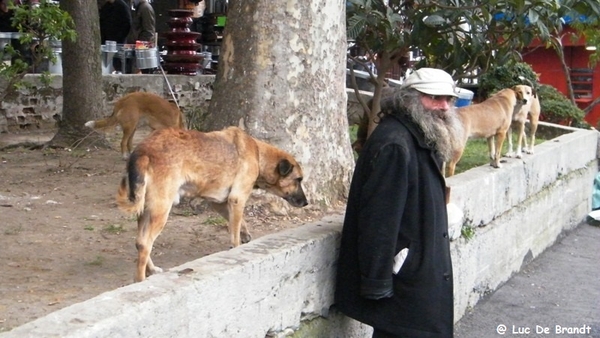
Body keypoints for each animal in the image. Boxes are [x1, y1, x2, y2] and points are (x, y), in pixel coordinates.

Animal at [116, 125, 308, 282]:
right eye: (298, 179)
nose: (306, 202)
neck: (258, 153)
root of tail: (143, 151)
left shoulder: (220, 203)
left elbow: (239, 223)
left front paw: (245, 234)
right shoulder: (237, 198)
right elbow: (235, 233)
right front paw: (237, 248)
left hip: (146, 210)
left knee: (140, 241)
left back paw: (152, 270)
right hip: (161, 210)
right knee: (145, 243)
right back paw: (140, 280)